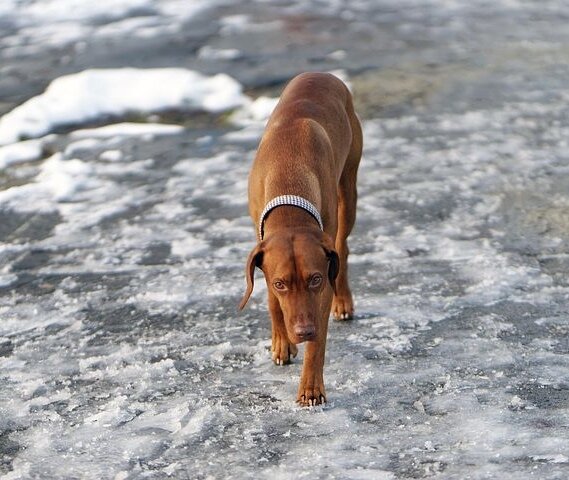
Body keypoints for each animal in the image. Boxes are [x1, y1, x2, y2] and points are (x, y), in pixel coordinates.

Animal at [239, 72, 362, 404]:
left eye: (315, 279)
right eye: (280, 283)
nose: (304, 331)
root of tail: (322, 73)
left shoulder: (323, 277)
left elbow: (318, 346)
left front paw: (310, 387)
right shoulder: (262, 250)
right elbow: (272, 302)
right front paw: (282, 342)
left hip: (348, 190)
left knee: (343, 248)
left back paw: (344, 301)